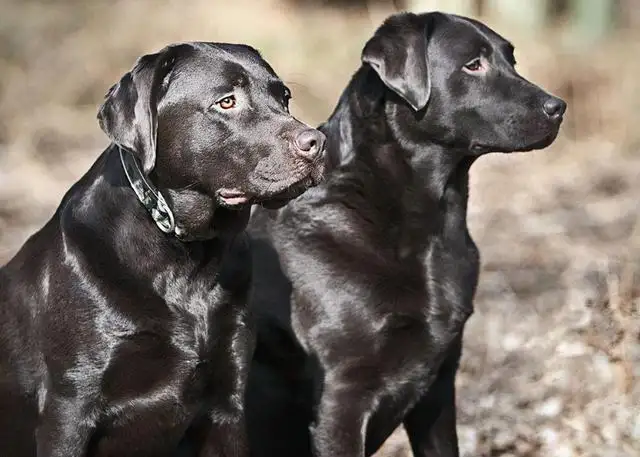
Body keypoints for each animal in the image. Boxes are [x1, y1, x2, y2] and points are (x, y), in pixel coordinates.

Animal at [1, 42, 324, 456]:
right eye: (227, 102)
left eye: (284, 97)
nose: (317, 142)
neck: (186, 263)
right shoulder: (68, 409)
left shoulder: (227, 403)